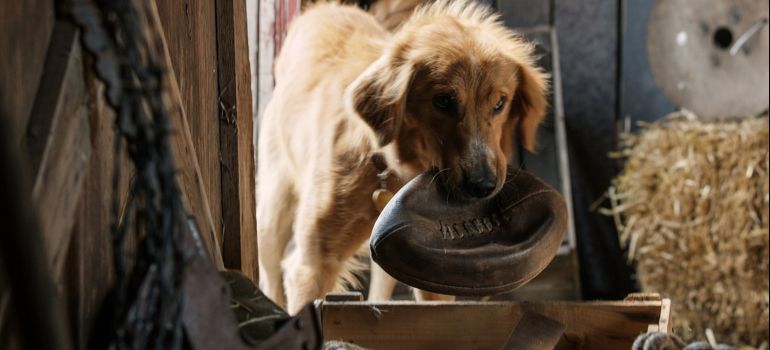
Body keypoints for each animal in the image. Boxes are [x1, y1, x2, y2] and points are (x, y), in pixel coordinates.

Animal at [258, 0, 544, 314]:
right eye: (442, 101)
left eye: (500, 103)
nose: (483, 186)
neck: (389, 168)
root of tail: (326, 8)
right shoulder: (314, 265)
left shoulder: (432, 266)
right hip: (273, 213)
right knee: (268, 275)